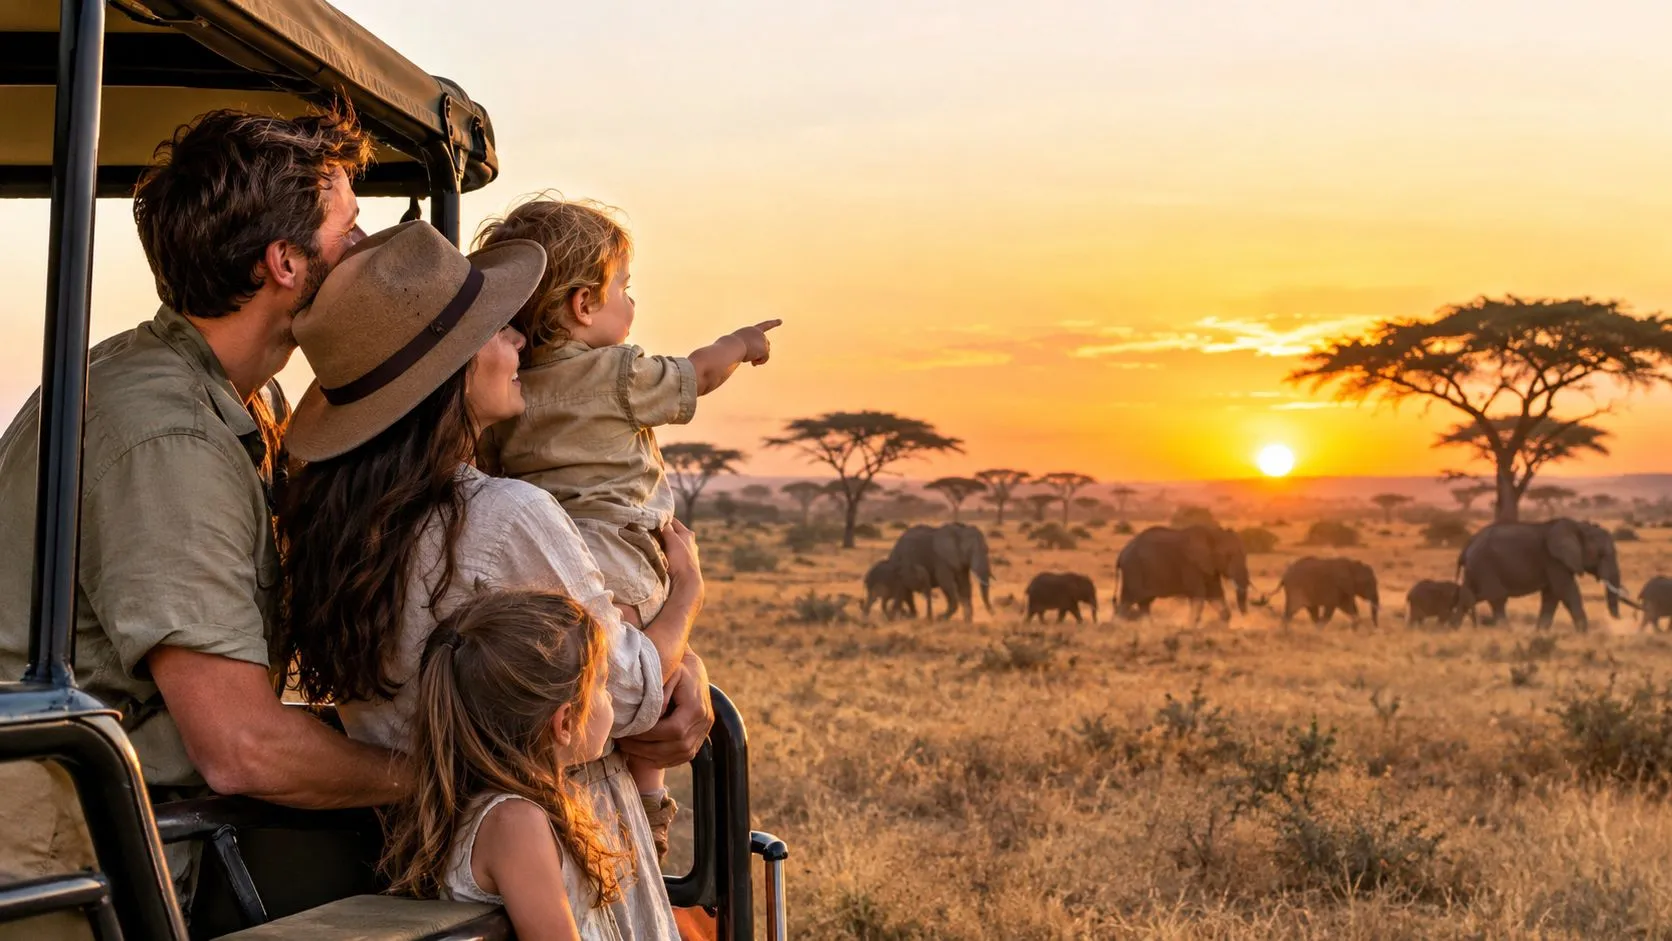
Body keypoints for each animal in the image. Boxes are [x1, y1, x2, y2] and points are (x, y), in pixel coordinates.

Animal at [1115, 525, 1249, 626]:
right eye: (1229, 556)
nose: (1245, 615)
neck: (1213, 534)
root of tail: (1121, 553)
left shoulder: (1210, 570)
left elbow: (1215, 594)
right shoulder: (1192, 567)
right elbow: (1198, 596)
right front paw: (1191, 628)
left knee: (1142, 603)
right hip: (1133, 571)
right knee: (1128, 602)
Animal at [1458, 518, 1624, 632]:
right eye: (1601, 555)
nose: (1618, 619)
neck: (1579, 526)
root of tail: (1469, 542)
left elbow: (1551, 595)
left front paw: (1540, 633)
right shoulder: (1554, 560)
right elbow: (1565, 591)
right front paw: (1584, 634)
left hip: (1475, 568)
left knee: (1468, 596)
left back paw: (1452, 628)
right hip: (1485, 566)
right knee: (1497, 598)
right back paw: (1507, 631)